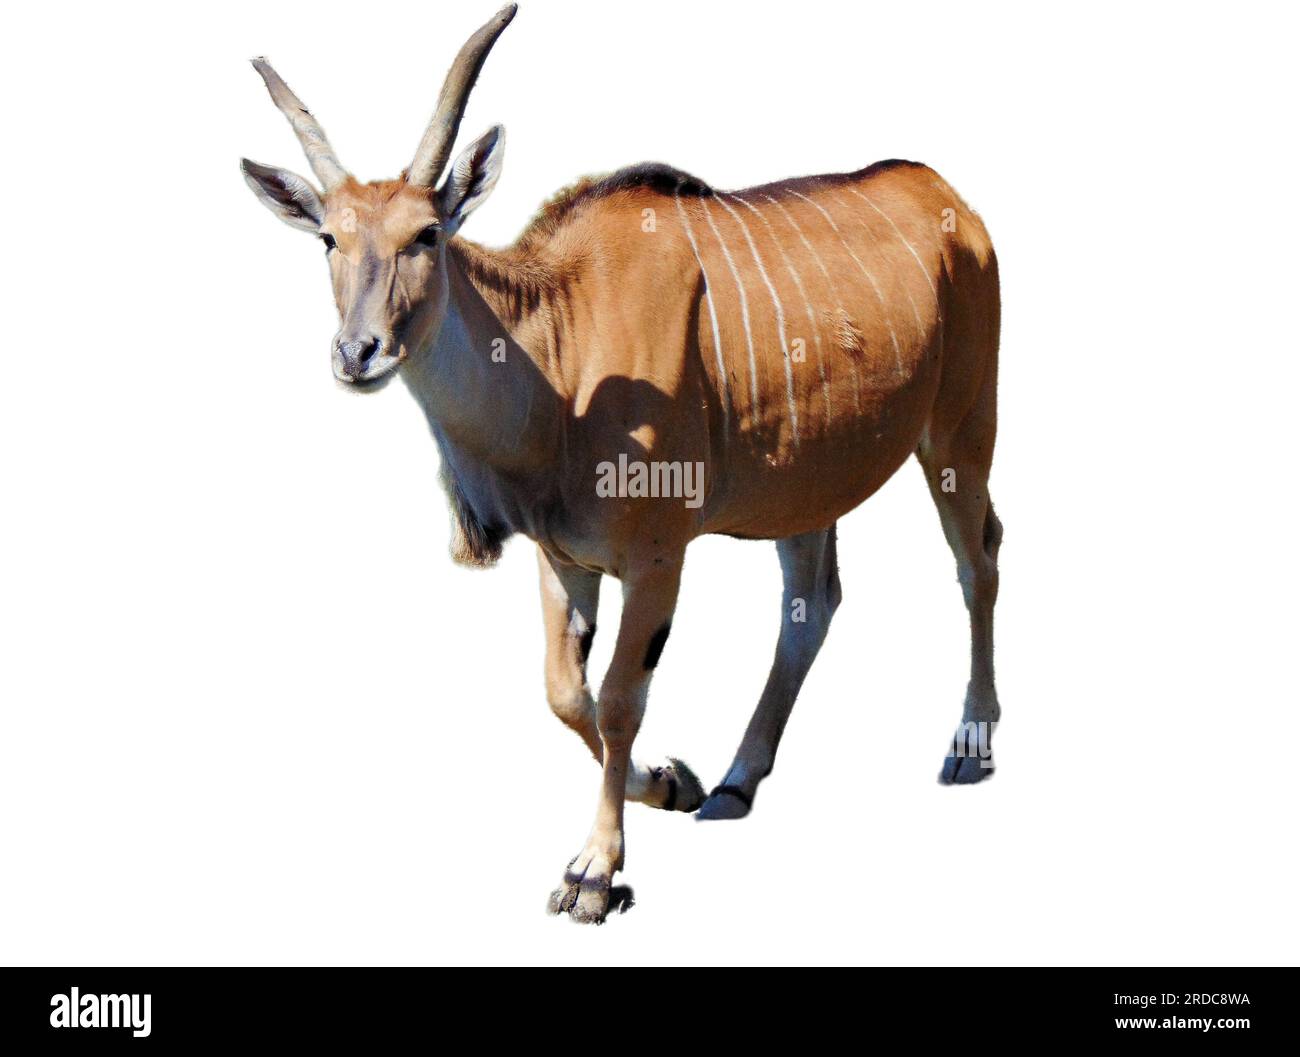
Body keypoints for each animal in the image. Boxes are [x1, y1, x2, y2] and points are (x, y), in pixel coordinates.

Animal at [239, 4, 998, 920]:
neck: (562, 359)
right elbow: (569, 695)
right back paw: (736, 781)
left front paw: (595, 869)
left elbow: (620, 701)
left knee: (977, 560)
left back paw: (971, 743)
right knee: (812, 606)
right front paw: (672, 781)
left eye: (426, 233)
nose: (358, 352)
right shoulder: (564, 559)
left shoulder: (657, 560)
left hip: (959, 435)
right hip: (807, 489)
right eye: (328, 238)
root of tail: (949, 199)